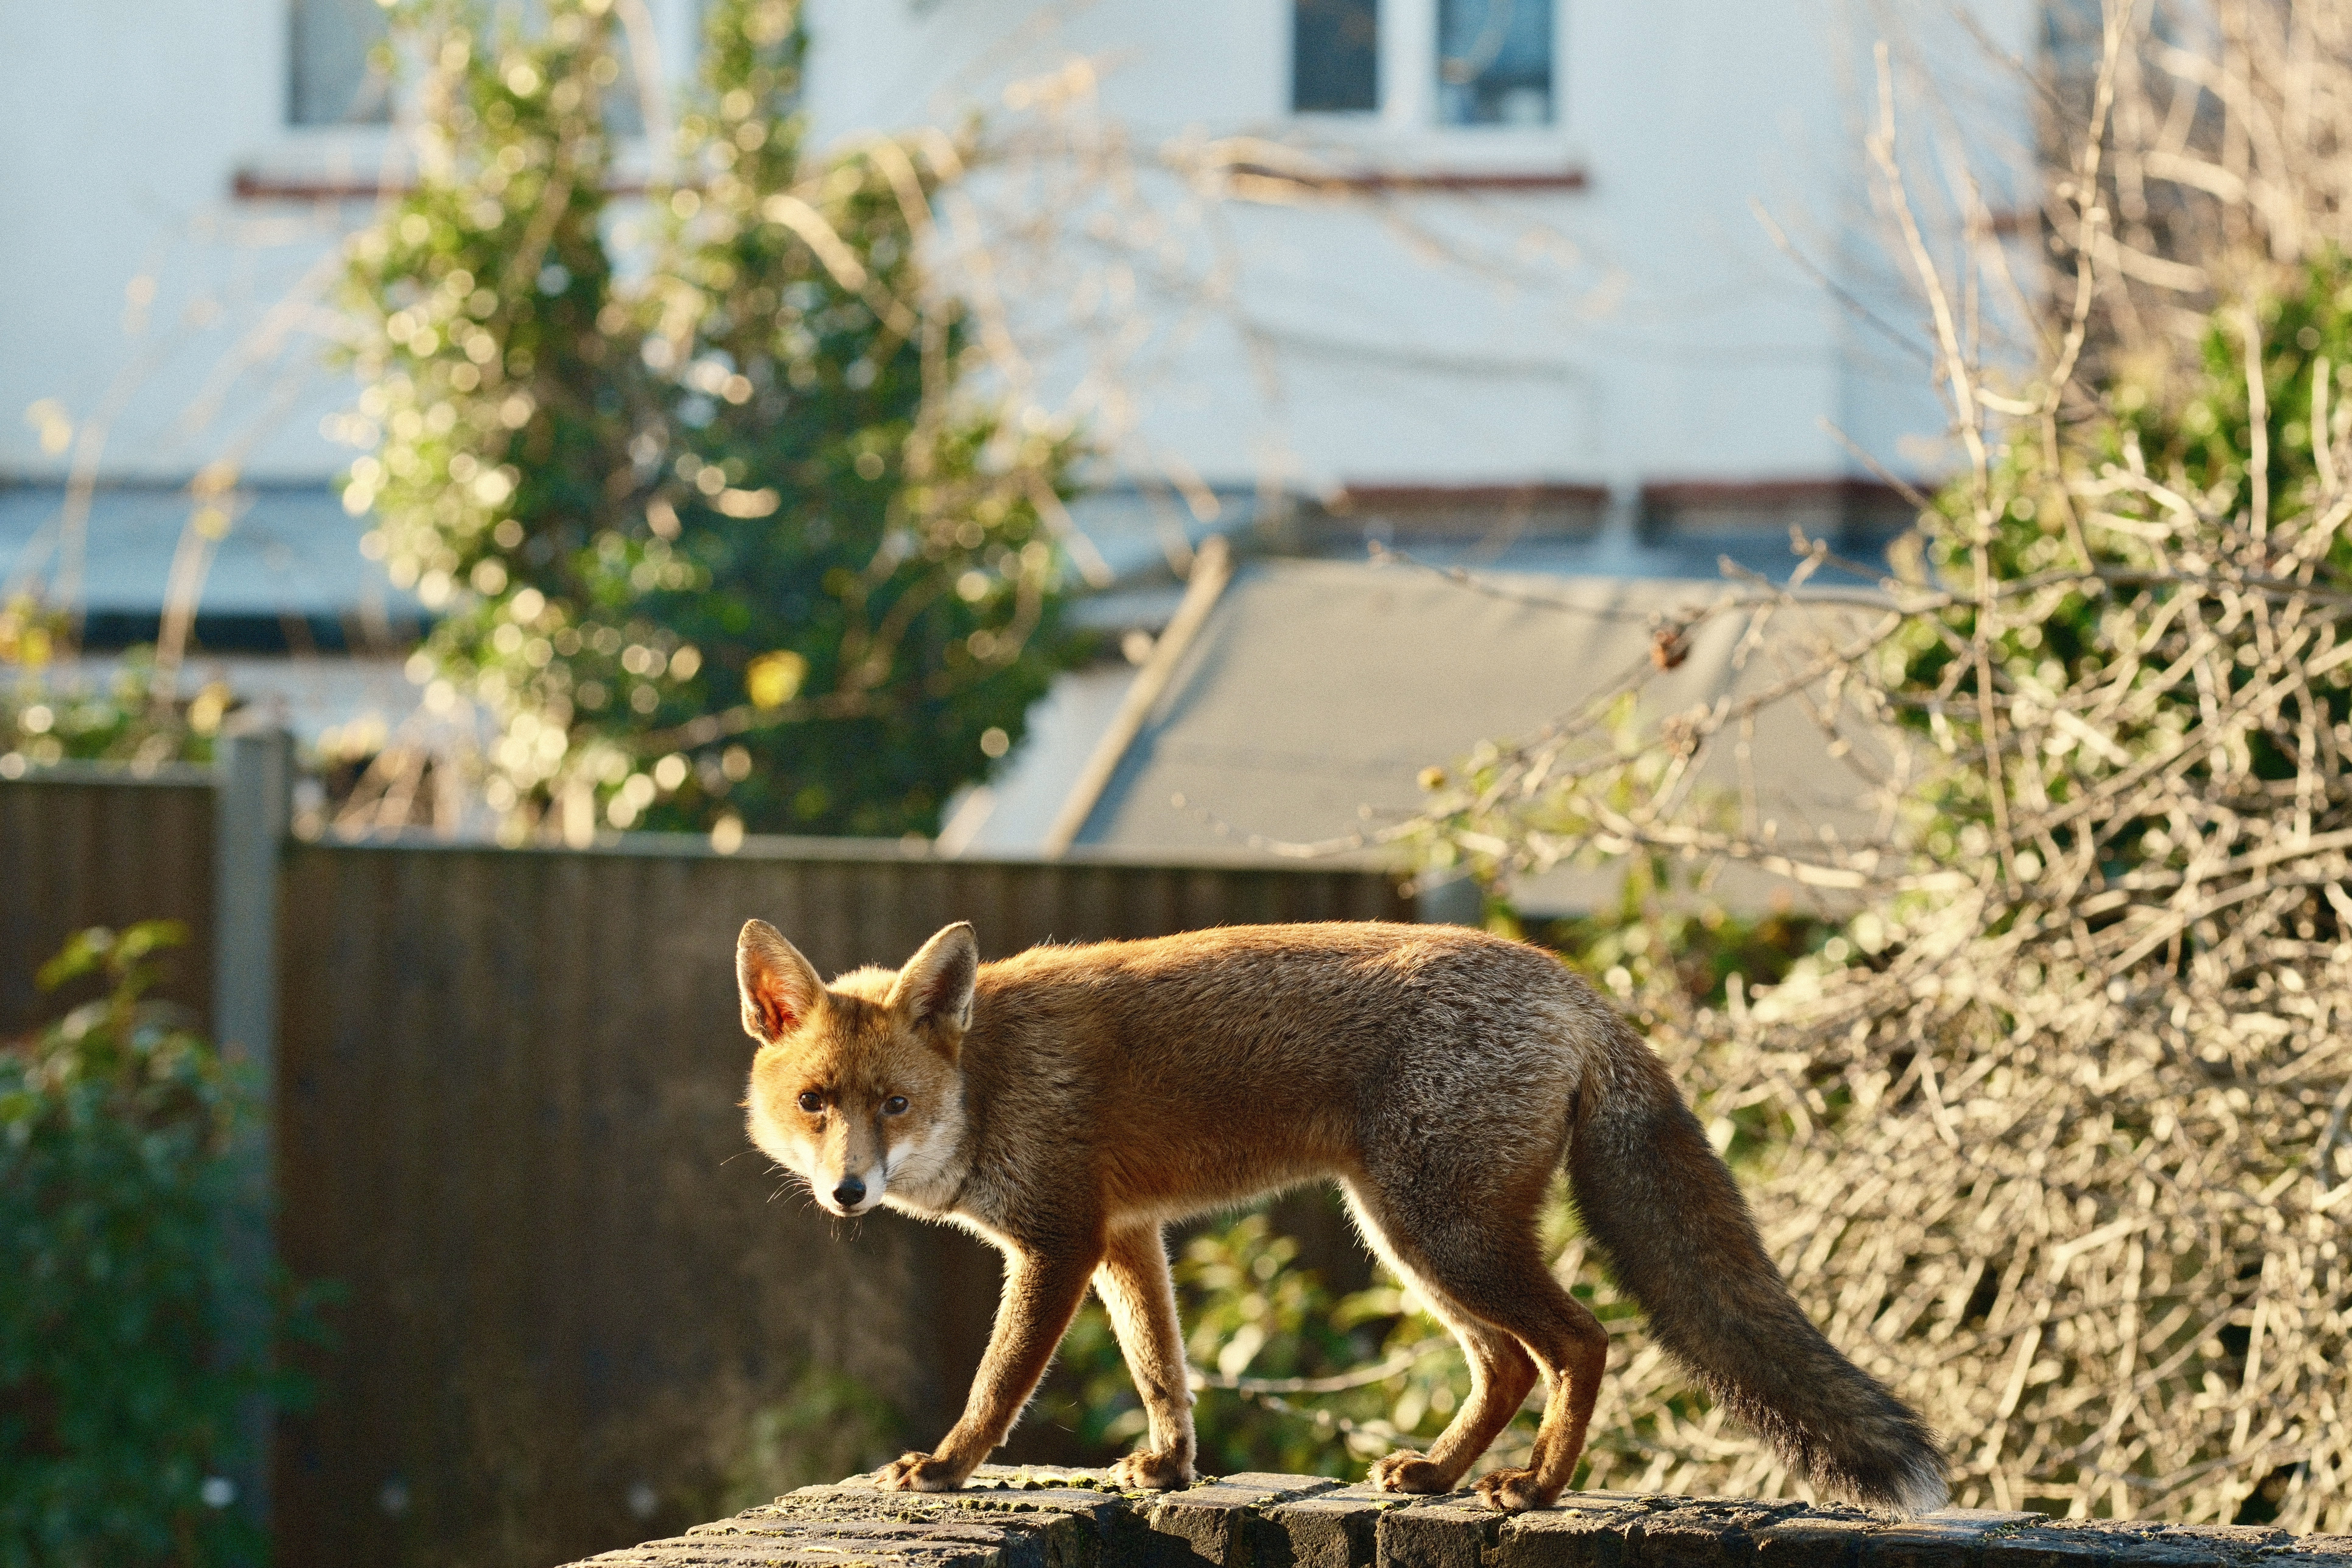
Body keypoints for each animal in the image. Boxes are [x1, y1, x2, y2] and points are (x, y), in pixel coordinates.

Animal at [734, 917, 1948, 1515]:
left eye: (893, 1105)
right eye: (815, 1105)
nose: (848, 1192)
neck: (984, 1079)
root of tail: (1574, 984)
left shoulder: (1057, 1241)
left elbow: (996, 1385)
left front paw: (945, 1468)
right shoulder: (1127, 1236)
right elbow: (1162, 1370)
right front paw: (1169, 1470)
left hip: (1436, 1232)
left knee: (1579, 1341)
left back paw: (1536, 1488)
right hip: (1408, 1234)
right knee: (1507, 1363)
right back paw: (1440, 1477)